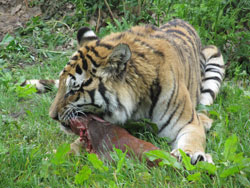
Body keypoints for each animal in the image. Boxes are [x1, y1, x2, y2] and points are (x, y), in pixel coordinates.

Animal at [24, 19, 226, 164]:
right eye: (61, 85)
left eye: (74, 88)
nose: (52, 116)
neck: (138, 104)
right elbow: (73, 146)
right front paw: (51, 157)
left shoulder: (188, 123)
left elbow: (192, 140)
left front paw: (192, 155)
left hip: (215, 58)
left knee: (205, 105)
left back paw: (205, 120)